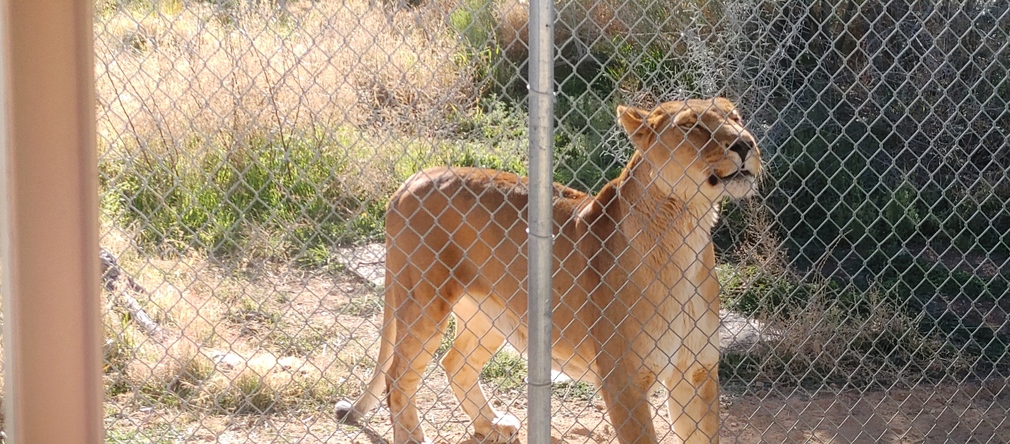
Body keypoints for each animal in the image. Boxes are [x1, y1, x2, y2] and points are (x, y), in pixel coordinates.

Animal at [335, 97, 762, 444]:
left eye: (736, 117)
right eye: (693, 125)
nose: (745, 143)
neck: (687, 228)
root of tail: (414, 177)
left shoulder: (697, 373)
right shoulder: (623, 380)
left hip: (488, 316)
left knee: (454, 365)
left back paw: (491, 424)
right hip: (423, 303)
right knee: (398, 378)